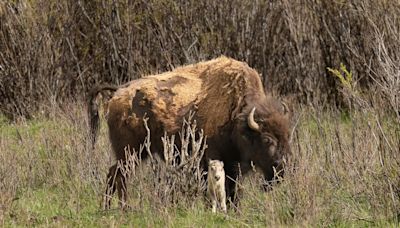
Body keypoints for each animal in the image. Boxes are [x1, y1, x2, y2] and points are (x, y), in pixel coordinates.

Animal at [89, 56, 290, 208]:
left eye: (287, 138)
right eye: (267, 140)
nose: (280, 169)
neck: (236, 116)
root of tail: (118, 92)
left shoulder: (233, 166)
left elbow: (233, 190)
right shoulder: (211, 160)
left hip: (135, 153)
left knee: (113, 174)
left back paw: (108, 207)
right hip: (130, 152)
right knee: (119, 176)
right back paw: (123, 208)